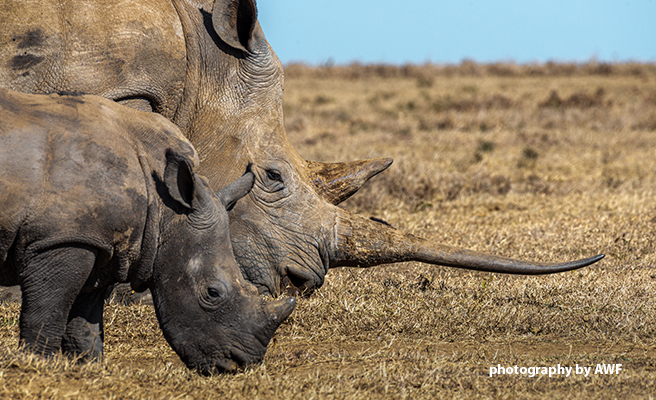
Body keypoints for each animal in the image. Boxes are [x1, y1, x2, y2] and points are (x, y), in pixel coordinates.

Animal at [0, 87, 295, 373]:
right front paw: (38, 364)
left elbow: (85, 321)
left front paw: (89, 367)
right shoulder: (61, 238)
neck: (166, 210)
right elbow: (48, 310)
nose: (240, 363)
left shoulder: (101, 243)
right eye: (212, 293)